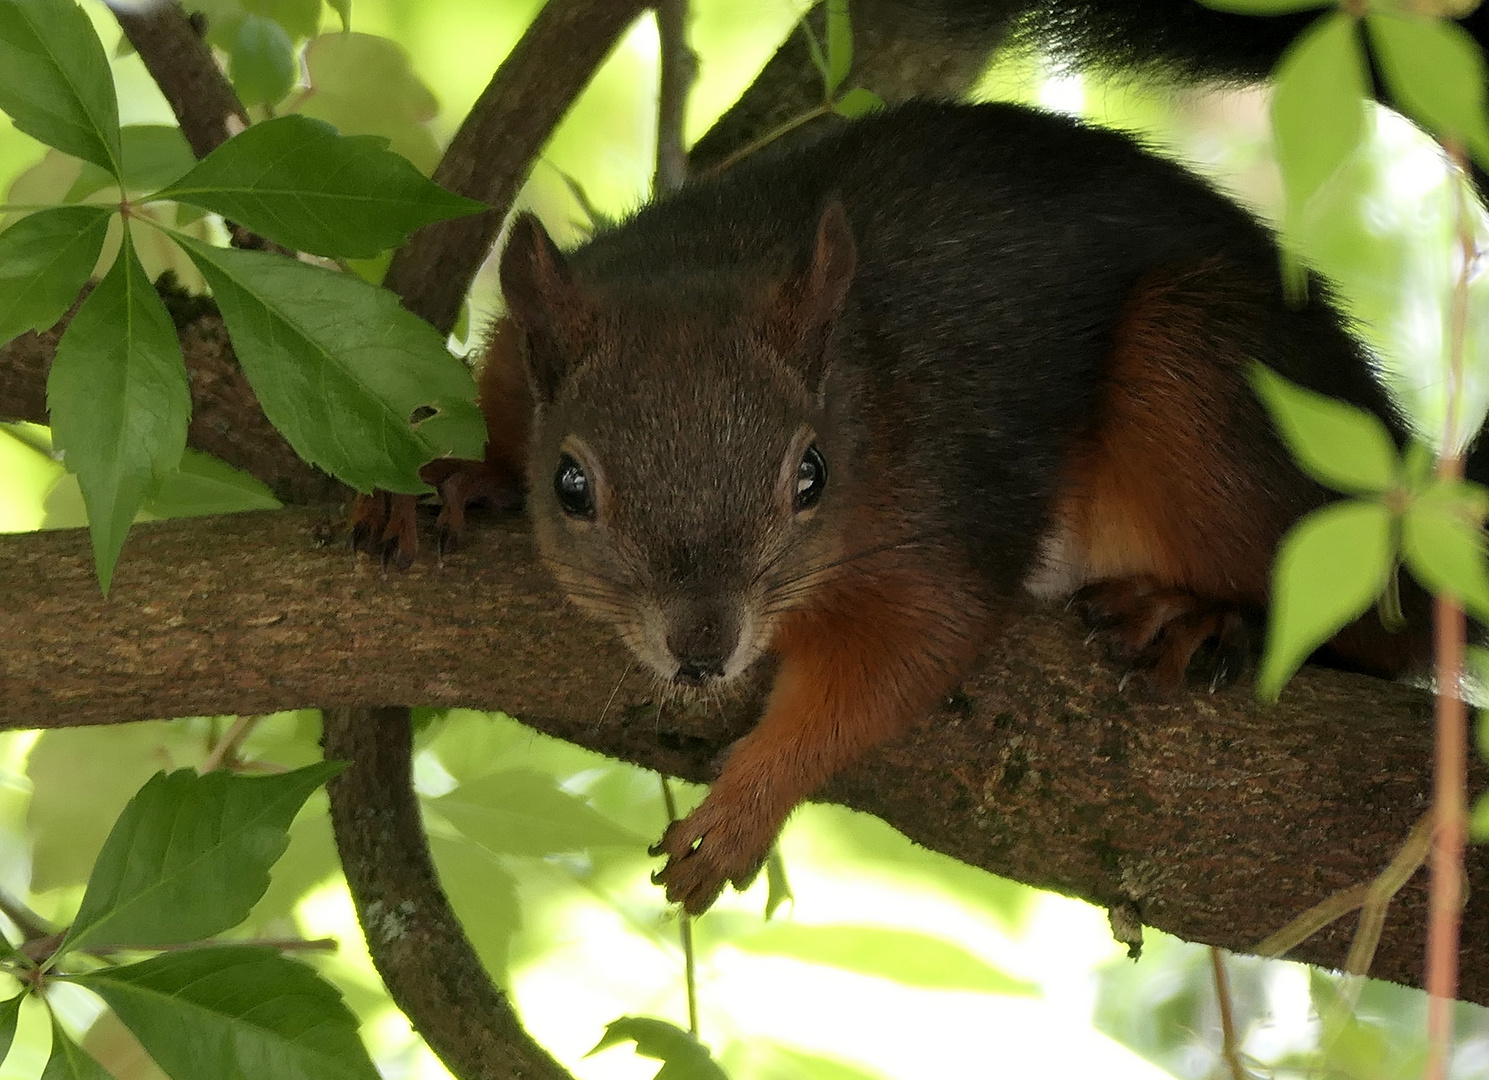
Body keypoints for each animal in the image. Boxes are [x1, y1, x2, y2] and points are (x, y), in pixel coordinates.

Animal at [473, 101, 1465, 911]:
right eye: (570, 485)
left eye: (811, 476)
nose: (702, 650)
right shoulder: (515, 351)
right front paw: (463, 479)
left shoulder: (939, 517)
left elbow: (895, 662)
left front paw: (744, 807)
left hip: (1204, 367)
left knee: (1379, 633)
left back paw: (1198, 615)